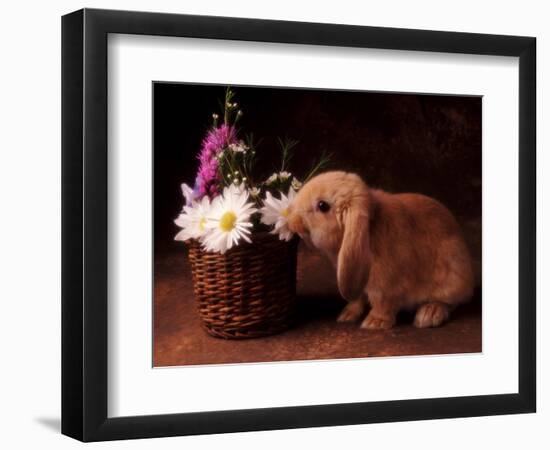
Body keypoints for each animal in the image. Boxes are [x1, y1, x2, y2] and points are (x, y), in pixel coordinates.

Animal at [286, 171, 476, 328]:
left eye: (322, 205)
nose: (291, 220)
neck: (370, 228)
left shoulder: (385, 285)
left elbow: (382, 302)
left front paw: (374, 323)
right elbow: (358, 298)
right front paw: (346, 315)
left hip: (451, 277)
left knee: (450, 301)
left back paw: (428, 315)